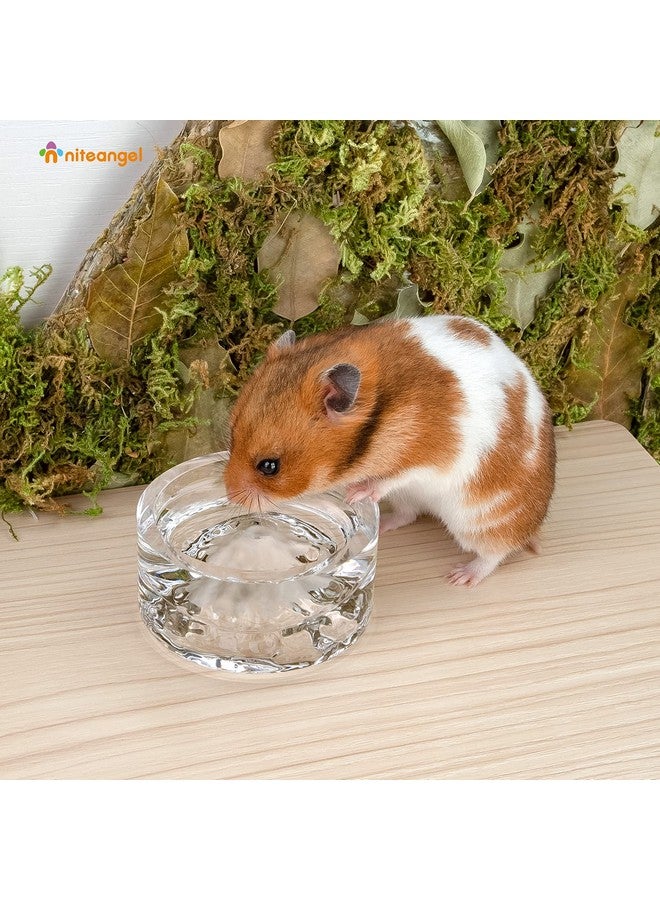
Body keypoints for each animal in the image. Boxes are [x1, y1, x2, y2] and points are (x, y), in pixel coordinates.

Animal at [224, 315, 556, 587]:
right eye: (232, 435)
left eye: (269, 466)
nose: (229, 496)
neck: (378, 414)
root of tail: (533, 526)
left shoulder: (427, 459)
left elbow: (391, 477)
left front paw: (355, 494)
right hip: (411, 499)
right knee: (409, 514)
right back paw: (384, 526)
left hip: (485, 522)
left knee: (495, 553)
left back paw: (461, 576)